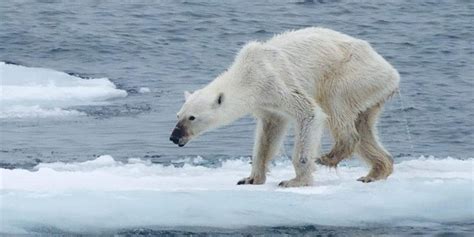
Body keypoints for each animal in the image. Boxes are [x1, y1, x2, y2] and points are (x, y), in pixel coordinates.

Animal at [170, 27, 400, 187]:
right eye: (178, 115)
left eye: (192, 117)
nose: (174, 137)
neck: (247, 74)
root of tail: (392, 72)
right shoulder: (266, 104)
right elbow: (268, 134)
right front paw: (250, 178)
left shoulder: (275, 82)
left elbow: (309, 113)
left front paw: (295, 181)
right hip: (371, 92)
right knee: (364, 127)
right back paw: (375, 172)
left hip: (353, 75)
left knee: (336, 104)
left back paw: (329, 156)